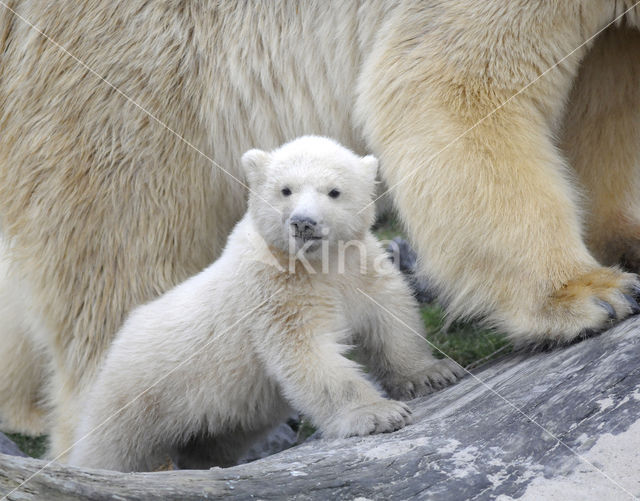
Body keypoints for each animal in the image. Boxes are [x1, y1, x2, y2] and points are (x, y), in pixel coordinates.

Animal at [0, 2, 636, 458]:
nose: (304, 220)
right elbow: (450, 80)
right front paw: (589, 294)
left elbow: (603, 99)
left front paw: (623, 242)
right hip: (126, 90)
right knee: (117, 265)